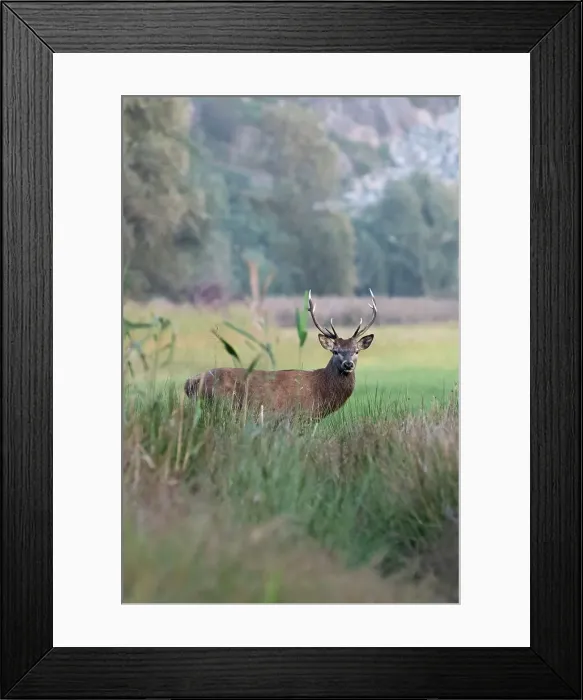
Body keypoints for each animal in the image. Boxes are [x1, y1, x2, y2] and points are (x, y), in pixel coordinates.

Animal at [184, 289, 377, 422]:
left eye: (356, 351)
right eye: (335, 351)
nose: (348, 364)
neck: (320, 392)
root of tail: (190, 382)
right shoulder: (297, 417)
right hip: (220, 406)